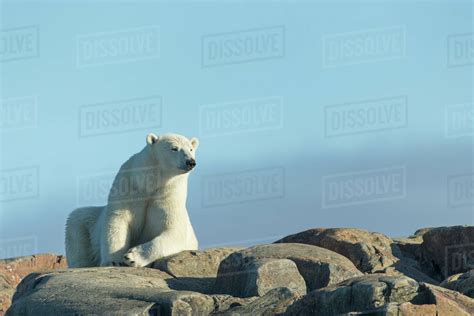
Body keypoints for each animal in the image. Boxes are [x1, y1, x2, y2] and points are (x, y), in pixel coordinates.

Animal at [65, 132, 199, 268]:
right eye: (174, 148)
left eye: (191, 149)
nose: (190, 162)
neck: (151, 183)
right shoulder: (128, 186)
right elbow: (117, 221)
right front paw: (114, 260)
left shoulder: (169, 194)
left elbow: (174, 232)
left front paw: (132, 257)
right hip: (88, 224)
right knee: (76, 226)